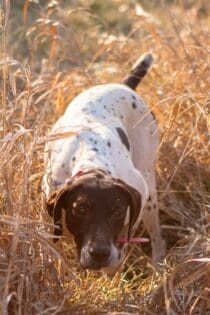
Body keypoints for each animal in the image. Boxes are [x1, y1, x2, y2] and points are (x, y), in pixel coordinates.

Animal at [41, 53, 165, 274]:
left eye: (117, 211)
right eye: (80, 210)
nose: (99, 254)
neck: (91, 157)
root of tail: (124, 85)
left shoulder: (138, 195)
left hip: (149, 190)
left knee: (157, 236)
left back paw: (158, 264)